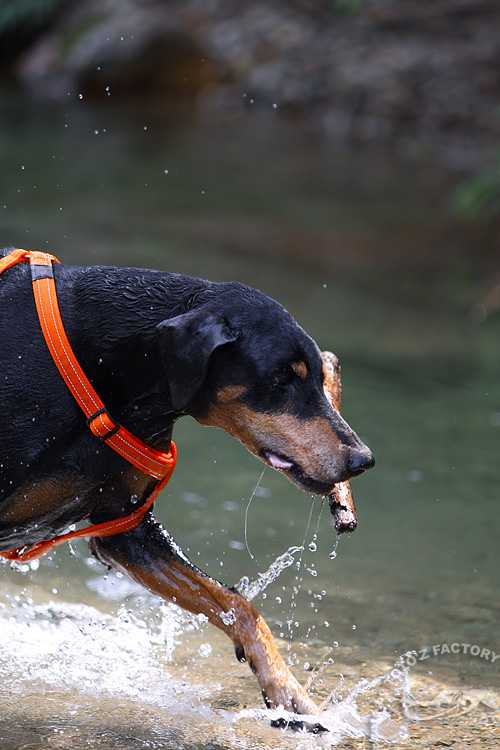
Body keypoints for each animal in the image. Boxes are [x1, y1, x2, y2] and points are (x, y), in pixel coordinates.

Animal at [0, 250, 374, 720]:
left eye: (320, 377)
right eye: (281, 377)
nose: (363, 459)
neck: (101, 365)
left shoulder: (125, 532)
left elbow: (236, 603)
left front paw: (290, 694)